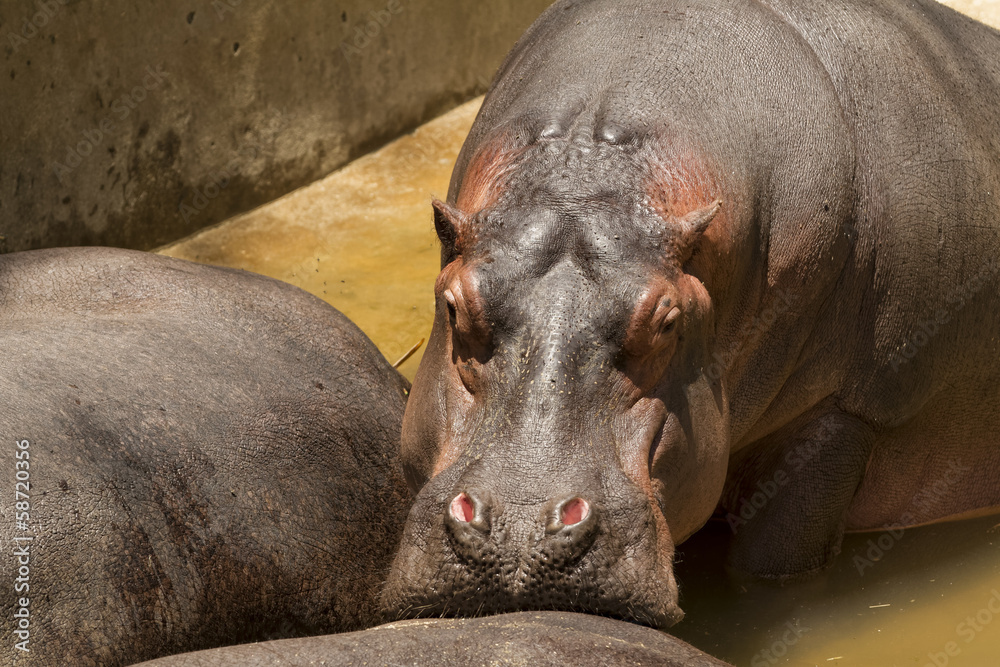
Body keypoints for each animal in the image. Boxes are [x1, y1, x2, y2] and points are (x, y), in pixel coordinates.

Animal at [376, 0, 1000, 632]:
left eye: (667, 322)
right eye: (454, 306)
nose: (519, 531)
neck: (589, 175)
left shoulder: (849, 416)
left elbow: (770, 567)